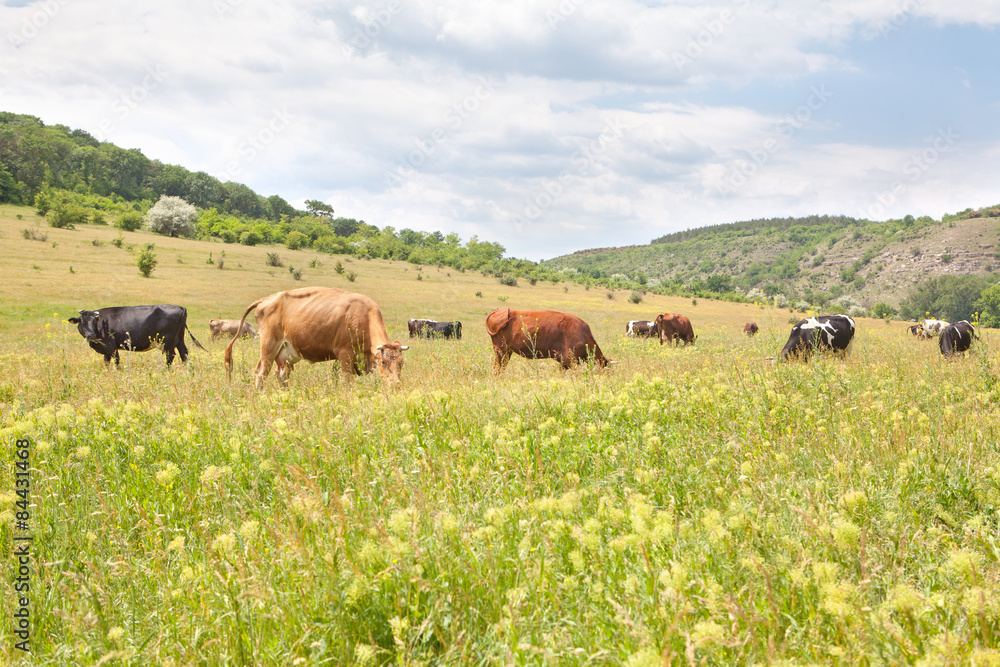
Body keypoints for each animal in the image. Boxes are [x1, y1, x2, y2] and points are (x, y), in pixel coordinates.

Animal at [68, 306, 205, 368]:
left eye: (94, 321)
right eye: (82, 322)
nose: (91, 334)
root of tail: (179, 307)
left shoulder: (111, 345)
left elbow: (116, 360)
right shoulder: (105, 349)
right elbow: (106, 362)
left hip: (168, 341)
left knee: (171, 355)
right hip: (179, 339)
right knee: (184, 353)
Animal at [225, 286, 408, 388]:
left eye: (401, 363)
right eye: (383, 362)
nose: (396, 385)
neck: (364, 316)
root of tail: (266, 299)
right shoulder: (344, 355)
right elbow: (348, 382)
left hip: (286, 352)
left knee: (281, 375)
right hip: (268, 346)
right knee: (261, 373)